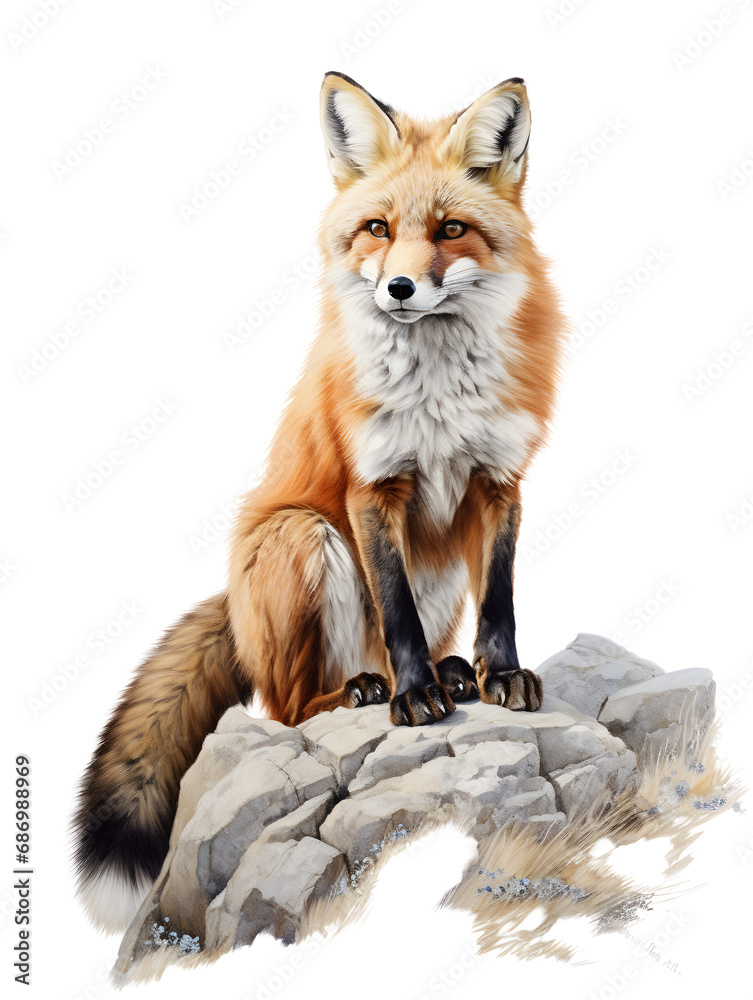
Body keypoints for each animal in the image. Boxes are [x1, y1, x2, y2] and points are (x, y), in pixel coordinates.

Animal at [74, 72, 566, 932]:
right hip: (306, 535)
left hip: (436, 571)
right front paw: (413, 697)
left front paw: (499, 676)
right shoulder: (371, 488)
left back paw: (456, 674)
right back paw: (367, 690)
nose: (400, 287)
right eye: (376, 228)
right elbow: (394, 613)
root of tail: (233, 598)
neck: (438, 388)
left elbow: (500, 599)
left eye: (450, 230)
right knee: (287, 705)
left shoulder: (498, 480)